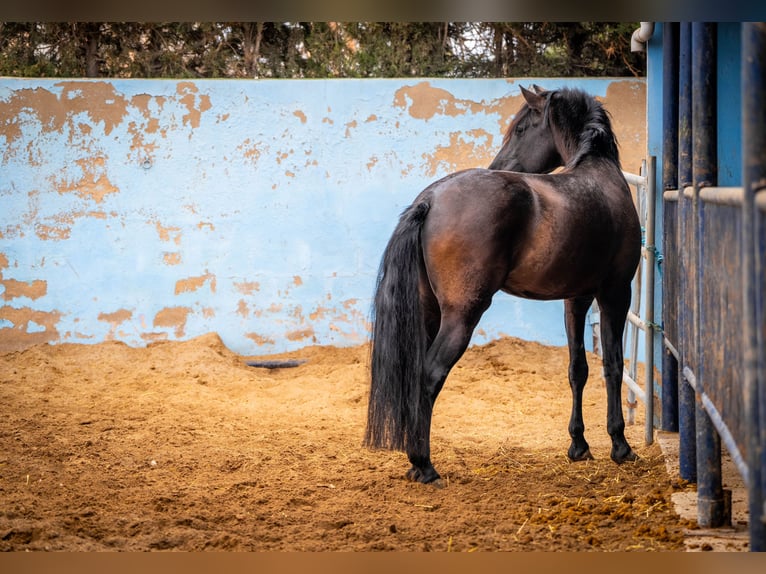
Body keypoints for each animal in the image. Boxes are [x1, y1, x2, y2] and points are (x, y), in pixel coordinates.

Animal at [364, 85, 644, 488]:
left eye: (522, 129)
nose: (499, 164)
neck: (599, 175)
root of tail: (430, 200)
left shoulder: (576, 298)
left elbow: (578, 369)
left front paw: (578, 445)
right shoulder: (616, 293)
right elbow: (614, 365)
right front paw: (620, 445)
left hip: (428, 312)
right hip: (462, 316)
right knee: (429, 376)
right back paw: (424, 465)